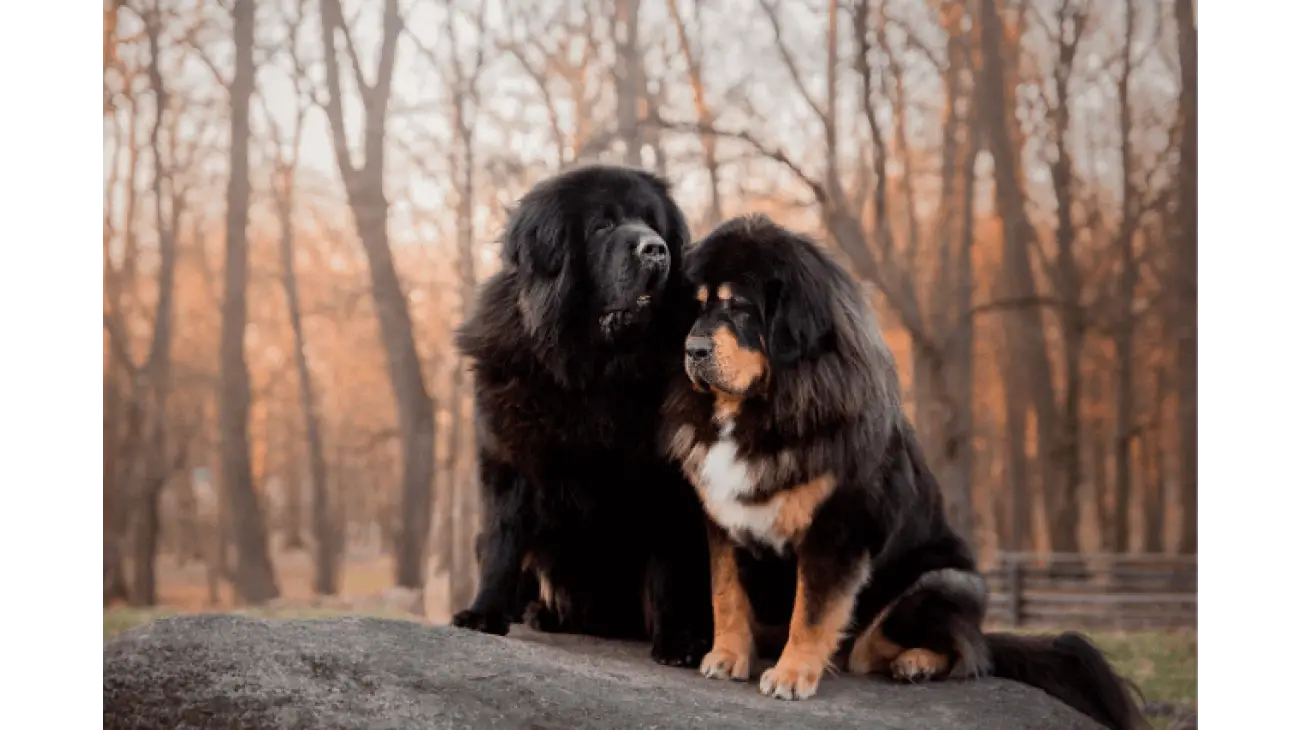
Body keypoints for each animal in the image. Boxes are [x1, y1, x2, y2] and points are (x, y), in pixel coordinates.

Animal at [447, 164, 712, 665]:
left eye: (653, 223)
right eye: (602, 226)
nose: (655, 249)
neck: (593, 371)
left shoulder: (668, 481)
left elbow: (670, 566)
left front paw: (677, 640)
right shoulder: (508, 459)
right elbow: (502, 541)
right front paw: (484, 613)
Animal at [660, 214, 1149, 727]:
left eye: (739, 307)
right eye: (698, 308)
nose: (693, 349)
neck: (762, 409)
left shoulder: (837, 526)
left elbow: (811, 610)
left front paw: (792, 675)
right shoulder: (721, 518)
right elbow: (726, 595)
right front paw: (727, 657)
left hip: (941, 584)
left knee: (966, 652)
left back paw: (916, 662)